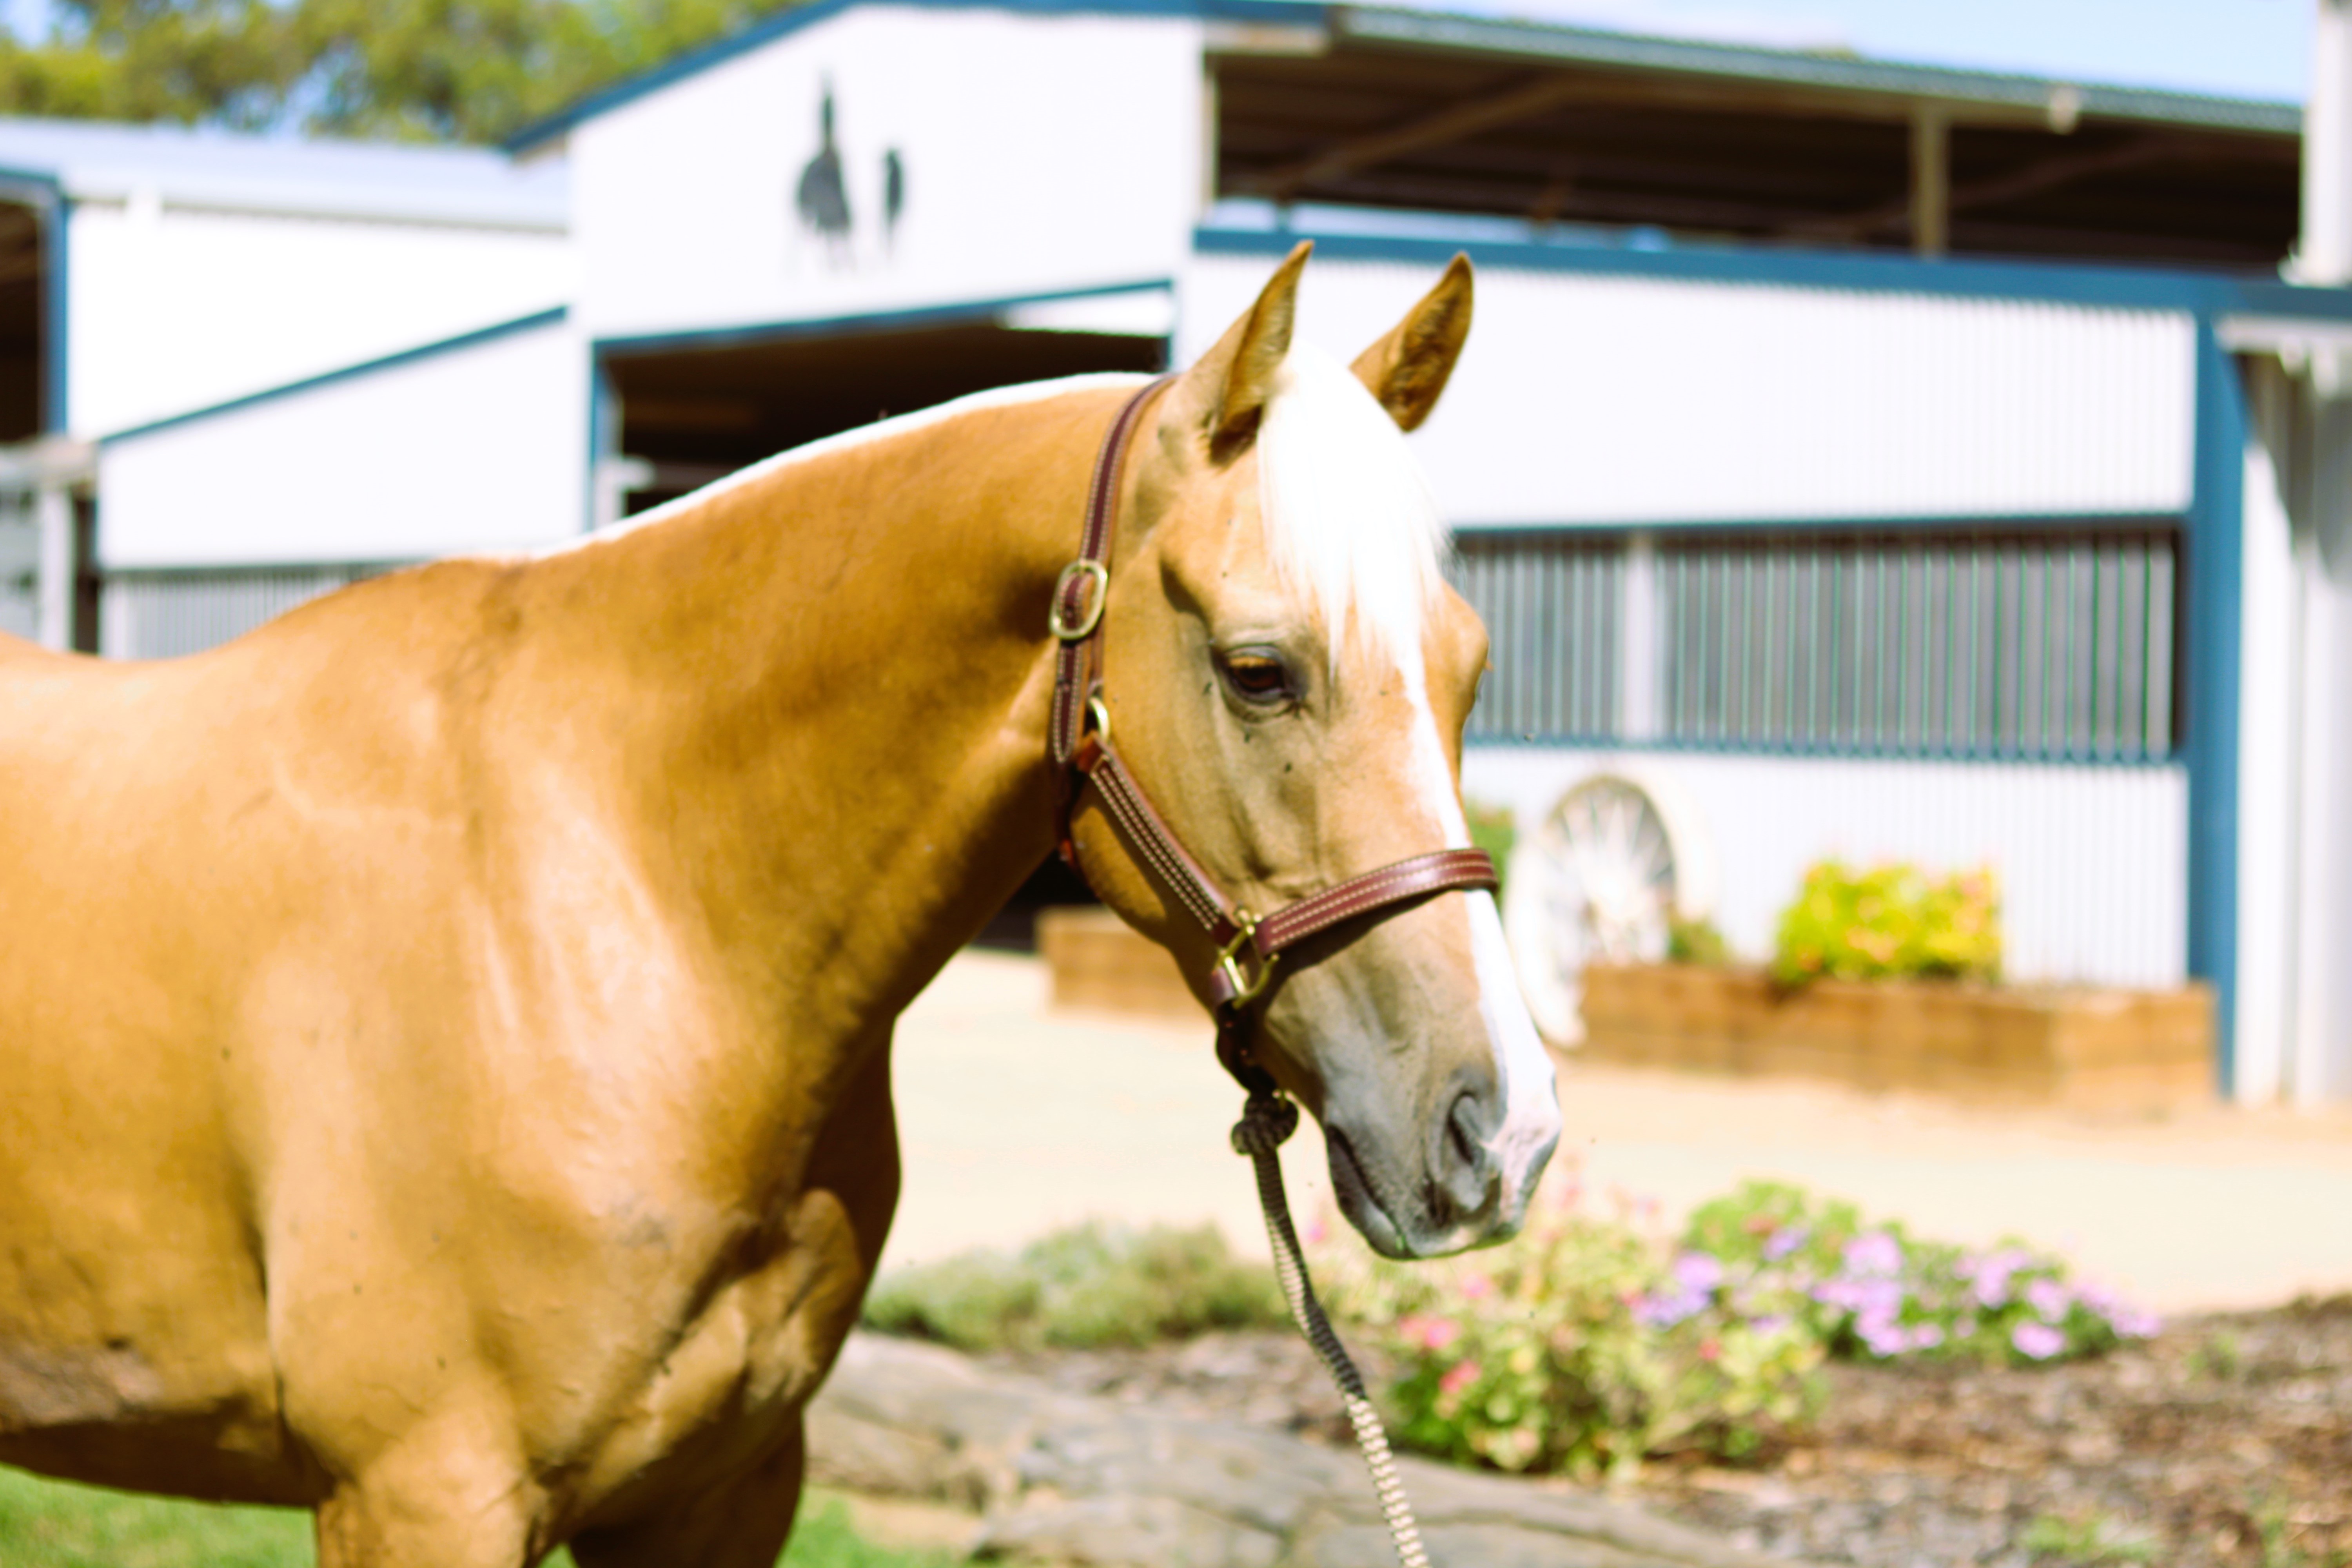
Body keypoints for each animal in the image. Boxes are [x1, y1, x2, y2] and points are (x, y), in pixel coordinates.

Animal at [0, 242, 1561, 1566]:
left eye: (1475, 662)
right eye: (1256, 669)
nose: (1503, 1131)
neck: (613, 895)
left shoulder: (722, 1487)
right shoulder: (421, 1493)